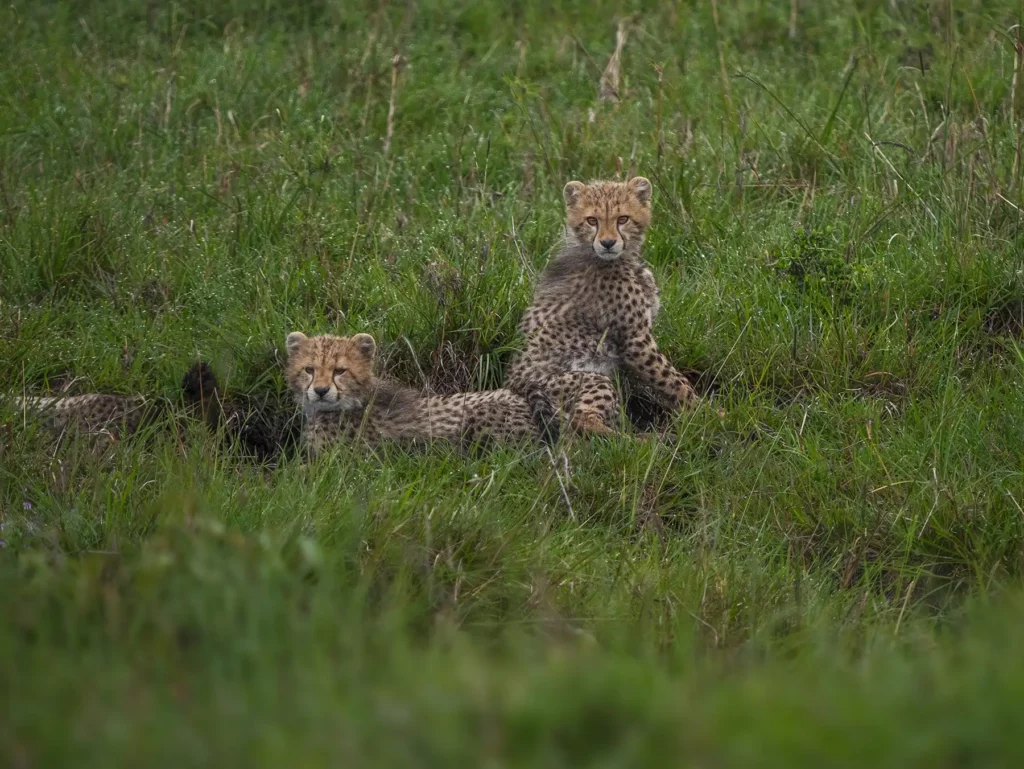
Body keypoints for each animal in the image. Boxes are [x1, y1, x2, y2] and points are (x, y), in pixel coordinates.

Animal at [505, 176, 696, 436]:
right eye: (592, 220)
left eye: (622, 219)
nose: (607, 243)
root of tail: (511, 385)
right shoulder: (637, 341)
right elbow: (674, 381)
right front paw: (711, 413)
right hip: (587, 379)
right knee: (582, 419)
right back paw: (631, 440)